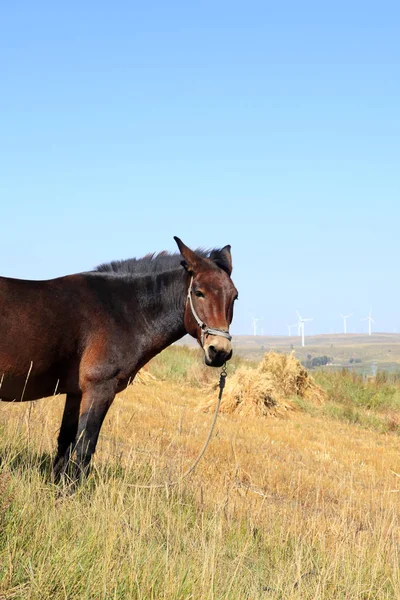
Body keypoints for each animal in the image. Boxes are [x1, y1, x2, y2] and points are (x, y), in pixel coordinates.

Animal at [0, 237, 238, 480]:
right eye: (199, 293)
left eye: (234, 296)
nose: (219, 351)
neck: (121, 312)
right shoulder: (100, 388)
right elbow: (85, 447)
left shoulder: (76, 393)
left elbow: (65, 444)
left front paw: (58, 486)